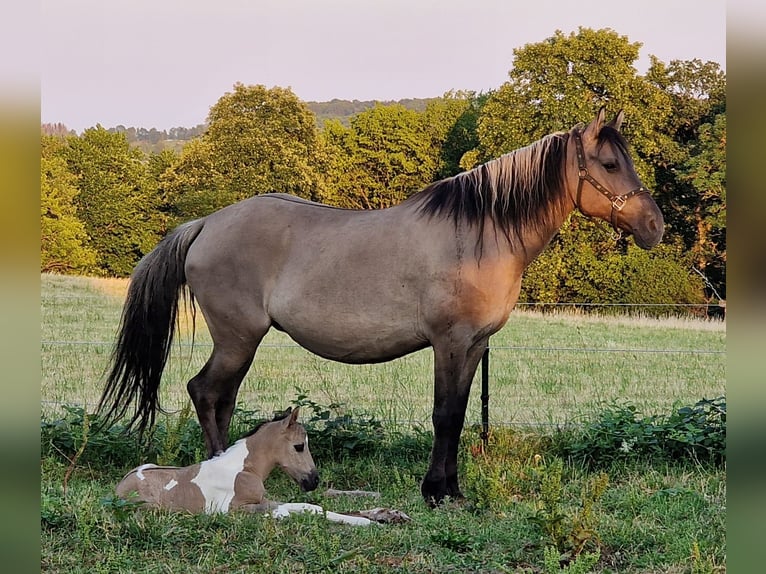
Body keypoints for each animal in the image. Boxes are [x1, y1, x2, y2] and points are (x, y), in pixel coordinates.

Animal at [100, 107, 664, 504]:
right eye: (609, 164)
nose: (654, 226)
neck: (478, 235)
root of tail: (205, 224)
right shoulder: (449, 344)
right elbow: (444, 415)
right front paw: (435, 492)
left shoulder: (474, 347)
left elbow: (459, 413)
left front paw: (451, 489)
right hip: (238, 338)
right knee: (205, 391)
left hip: (240, 342)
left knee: (221, 398)